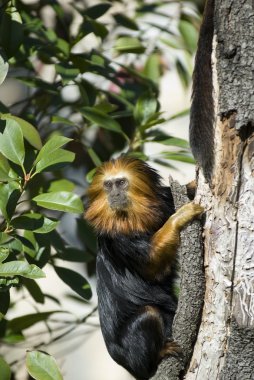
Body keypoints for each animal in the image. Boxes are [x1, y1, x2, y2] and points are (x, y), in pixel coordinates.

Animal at [84, 156, 203, 378]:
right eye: (108, 185)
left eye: (121, 183)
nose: (114, 194)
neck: (133, 217)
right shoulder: (116, 238)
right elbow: (151, 266)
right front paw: (180, 217)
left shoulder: (164, 200)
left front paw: (194, 183)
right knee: (148, 314)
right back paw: (158, 356)